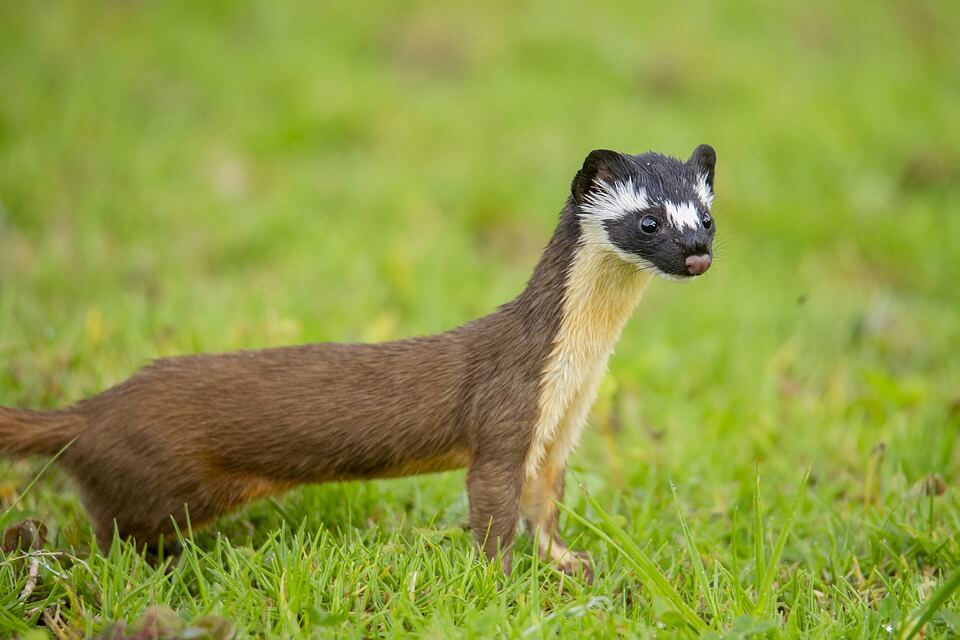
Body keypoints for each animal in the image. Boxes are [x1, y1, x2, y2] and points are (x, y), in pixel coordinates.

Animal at [0, 146, 716, 580]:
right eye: (648, 220)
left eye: (706, 216)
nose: (698, 255)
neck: (574, 371)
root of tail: (90, 410)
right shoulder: (505, 414)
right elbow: (492, 506)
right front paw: (504, 580)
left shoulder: (560, 434)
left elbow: (545, 508)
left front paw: (568, 563)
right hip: (161, 483)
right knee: (110, 528)